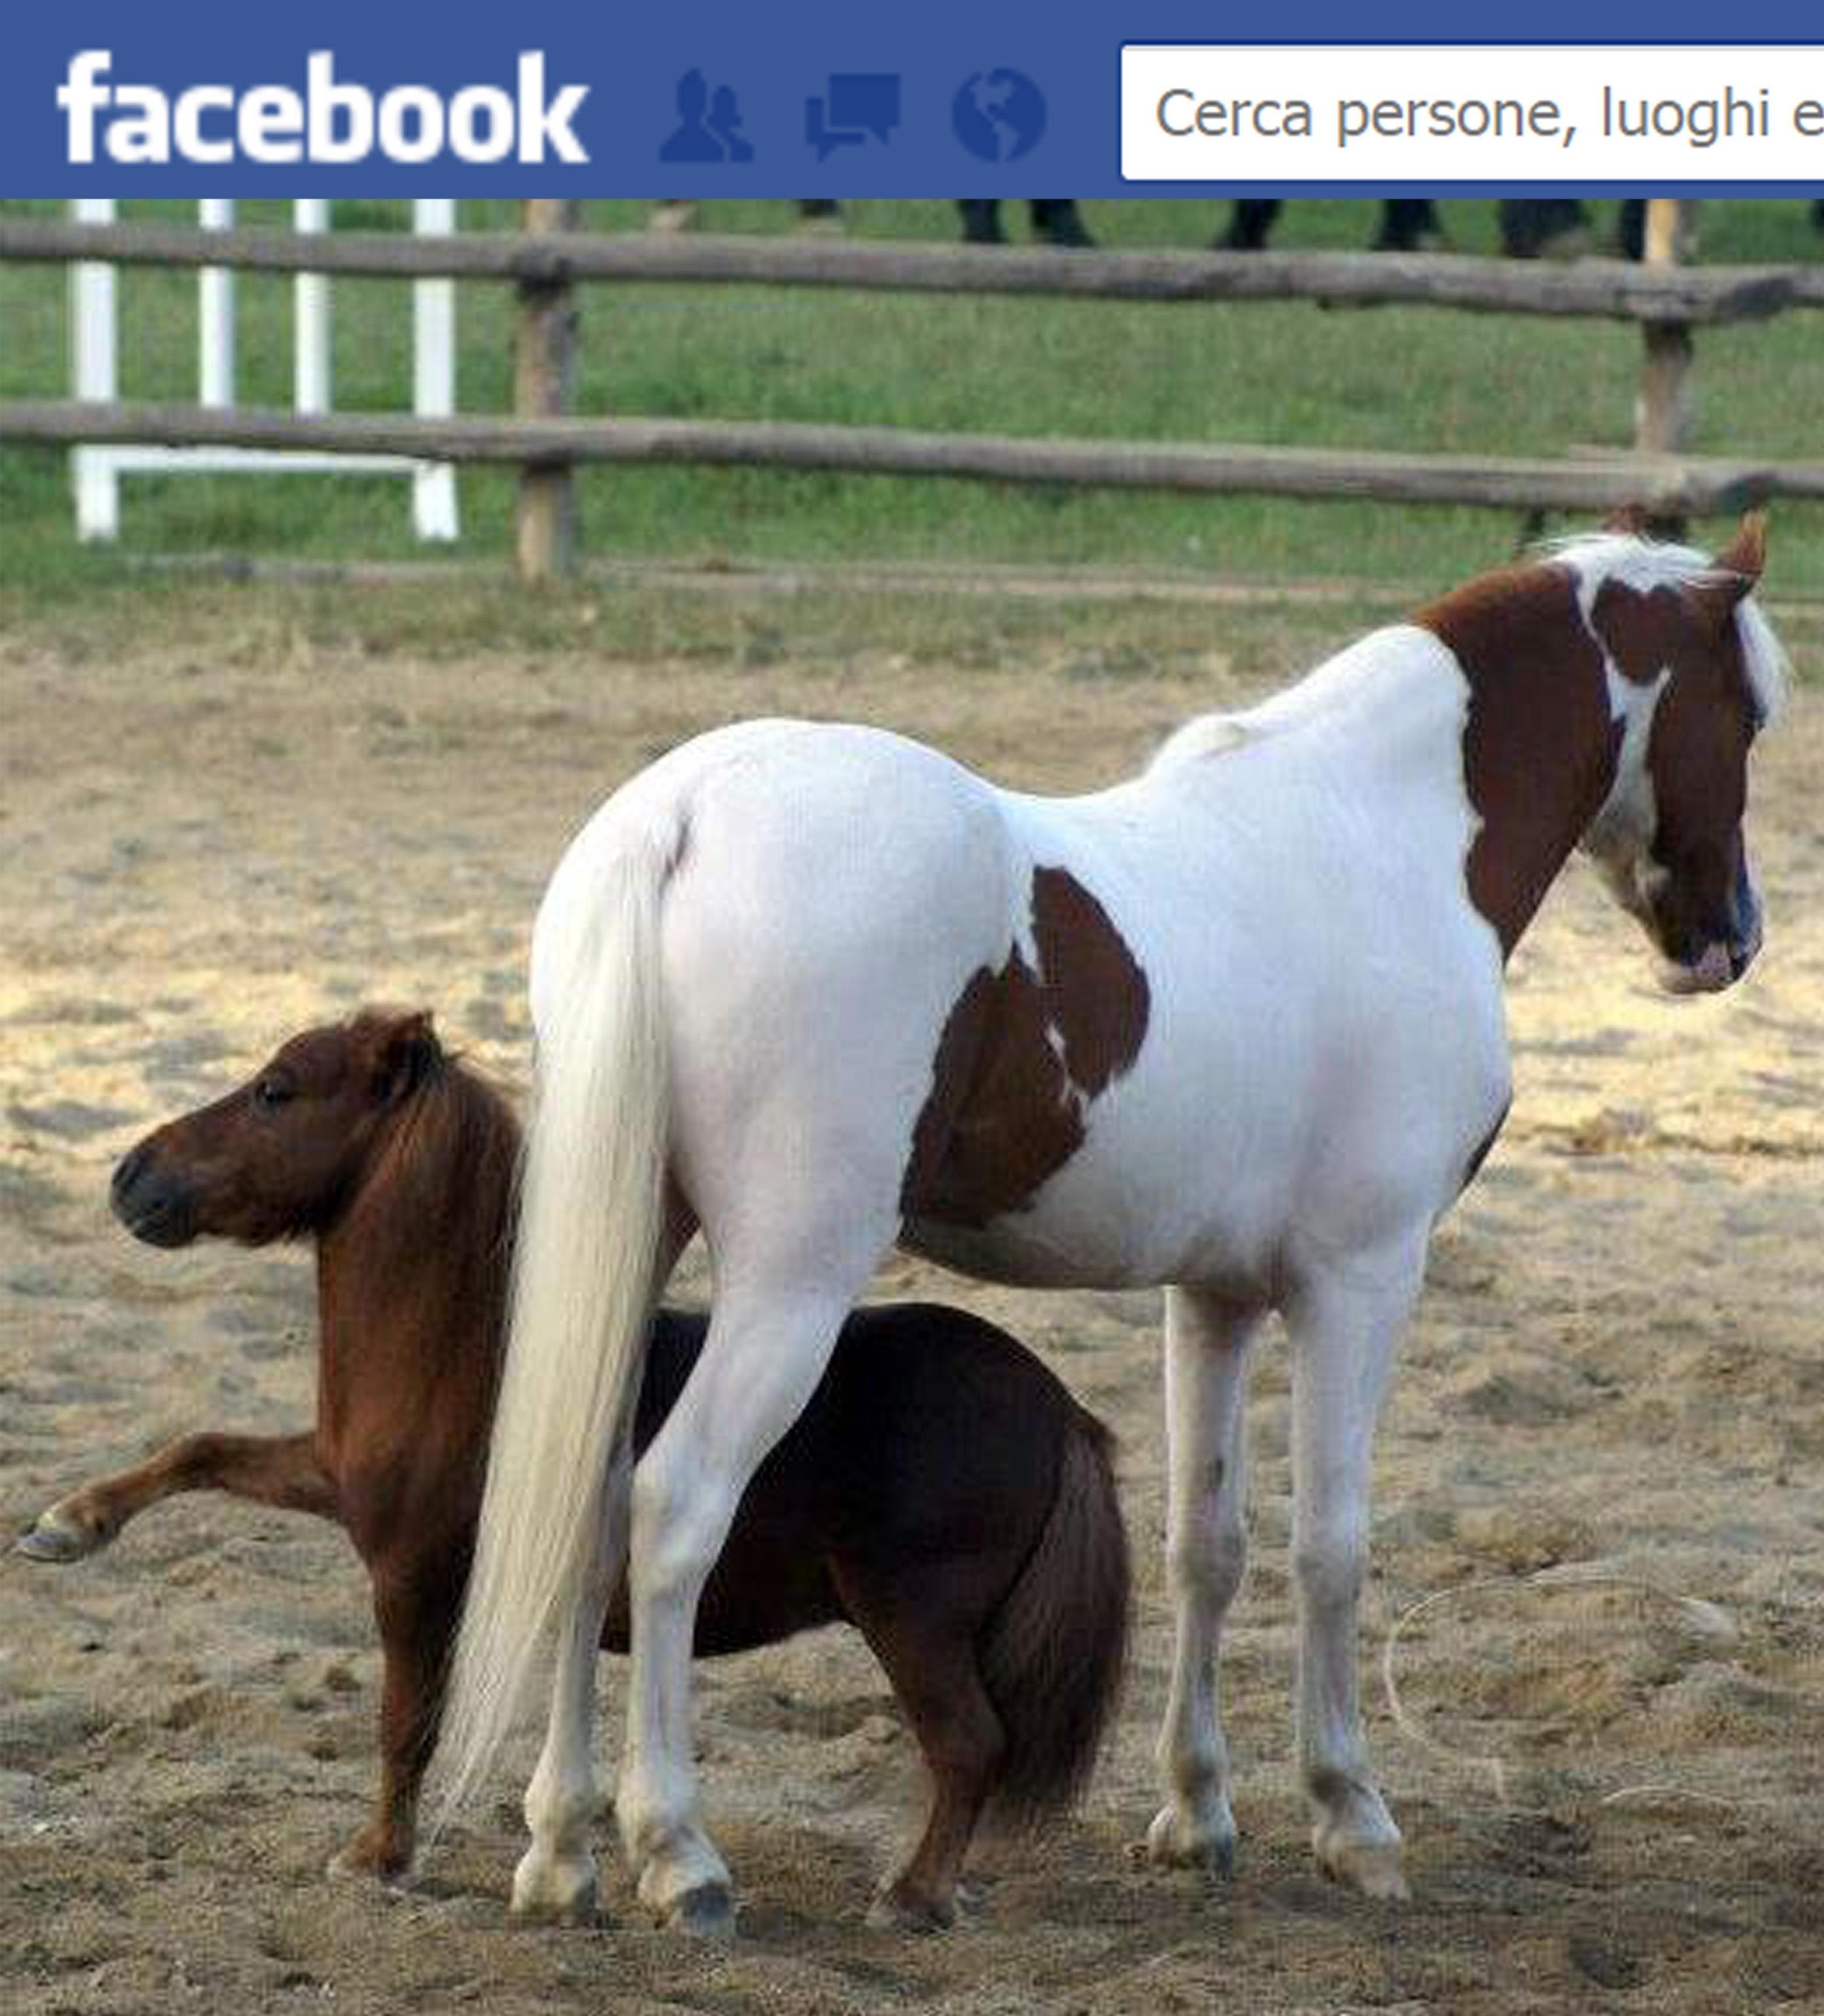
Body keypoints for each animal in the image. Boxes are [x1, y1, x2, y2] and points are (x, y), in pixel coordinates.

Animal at [19, 1010, 1129, 1930]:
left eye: (276, 1091)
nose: (128, 1176)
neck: (474, 1357)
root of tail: (1060, 1410)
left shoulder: (411, 1576)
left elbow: (404, 1723)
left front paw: (378, 1858)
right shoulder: (334, 1481)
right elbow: (198, 1449)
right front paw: (67, 1526)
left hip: (912, 1616)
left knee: (970, 1745)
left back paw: (911, 1896)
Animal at [434, 517, 1785, 1935]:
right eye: (1746, 712)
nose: (1727, 939)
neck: (1378, 843)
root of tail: (681, 817)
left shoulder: (1218, 1296)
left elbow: (1209, 1547)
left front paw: (1197, 1816)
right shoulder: (1359, 1281)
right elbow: (1330, 1549)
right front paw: (1350, 1816)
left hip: (636, 1256)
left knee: (585, 1511)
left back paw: (562, 1849)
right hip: (788, 1288)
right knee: (673, 1508)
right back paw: (679, 1852)